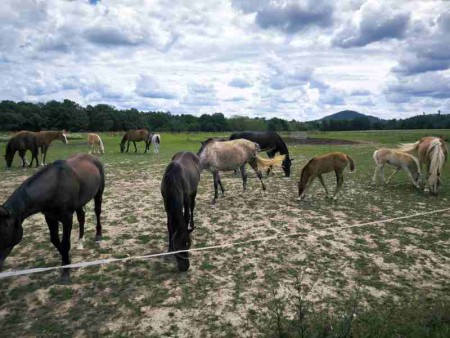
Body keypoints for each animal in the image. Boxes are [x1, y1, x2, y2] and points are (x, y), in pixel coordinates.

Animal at [0, 154, 104, 282]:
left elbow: (65, 243)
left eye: (4, 234)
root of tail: (92, 157)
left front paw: (66, 272)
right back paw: (80, 242)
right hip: (79, 203)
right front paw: (66, 261)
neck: (55, 187)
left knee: (97, 212)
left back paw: (98, 235)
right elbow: (55, 240)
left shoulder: (67, 218)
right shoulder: (50, 217)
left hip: (99, 193)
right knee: (81, 217)